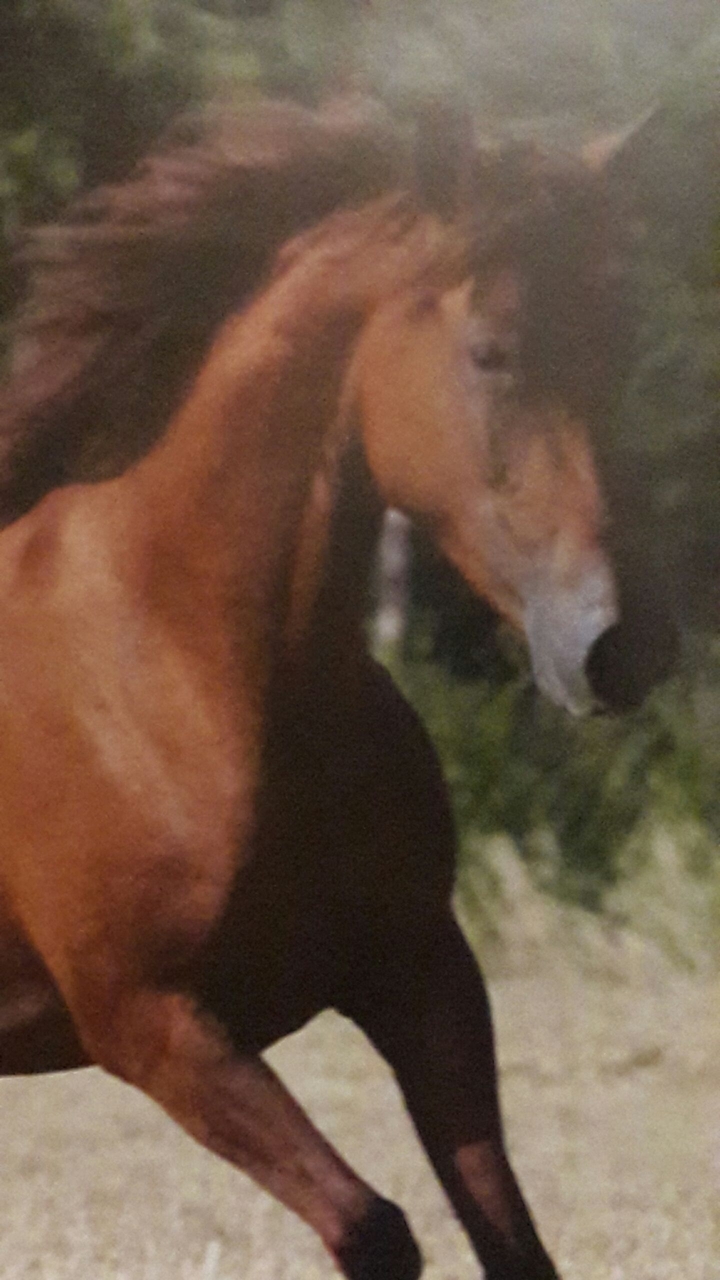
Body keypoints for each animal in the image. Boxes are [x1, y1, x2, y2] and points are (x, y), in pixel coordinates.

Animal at [0, 98, 677, 1279]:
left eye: (618, 344)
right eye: (492, 352)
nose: (622, 646)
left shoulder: (424, 975)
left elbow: (514, 1241)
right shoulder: (153, 1024)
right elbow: (374, 1226)